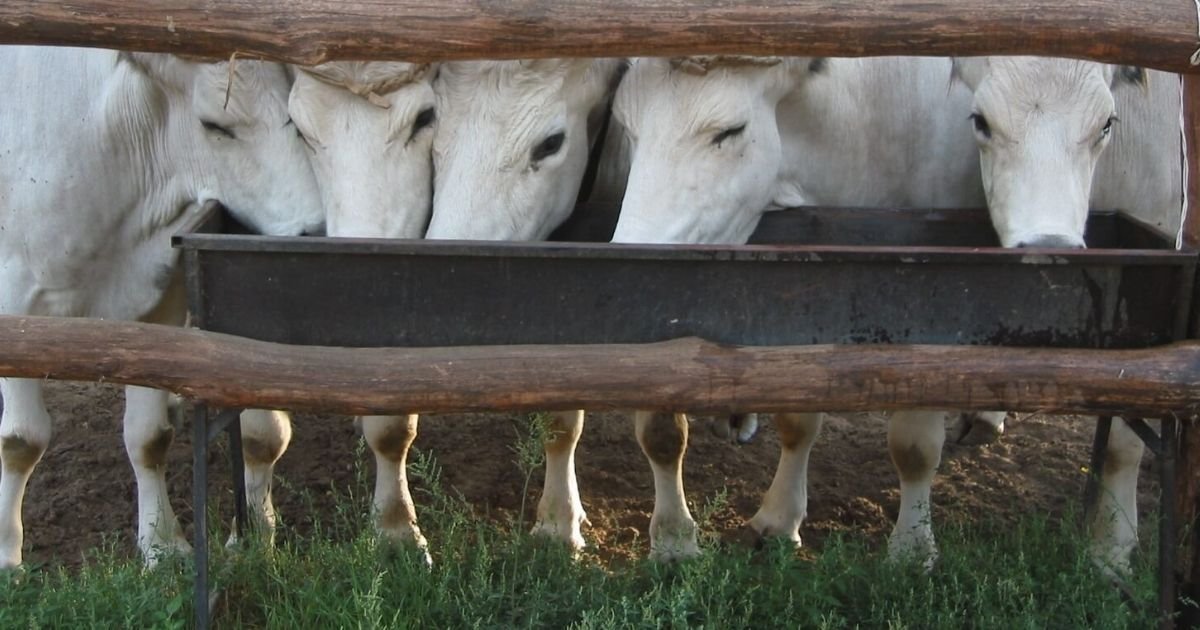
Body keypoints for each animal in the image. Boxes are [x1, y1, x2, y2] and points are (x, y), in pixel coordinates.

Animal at [0, 46, 324, 566]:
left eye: (294, 116)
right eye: (215, 126)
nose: (312, 228)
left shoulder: (159, 301)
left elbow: (148, 435)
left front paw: (162, 544)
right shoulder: (14, 303)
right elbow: (19, 441)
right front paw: (8, 558)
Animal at [229, 61, 441, 556]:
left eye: (425, 117)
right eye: (298, 128)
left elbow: (392, 426)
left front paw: (396, 532)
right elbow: (254, 427)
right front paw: (251, 534)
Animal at [604, 55, 988, 559]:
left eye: (730, 130)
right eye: (626, 125)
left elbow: (915, 444)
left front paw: (912, 546)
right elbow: (795, 418)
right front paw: (777, 518)